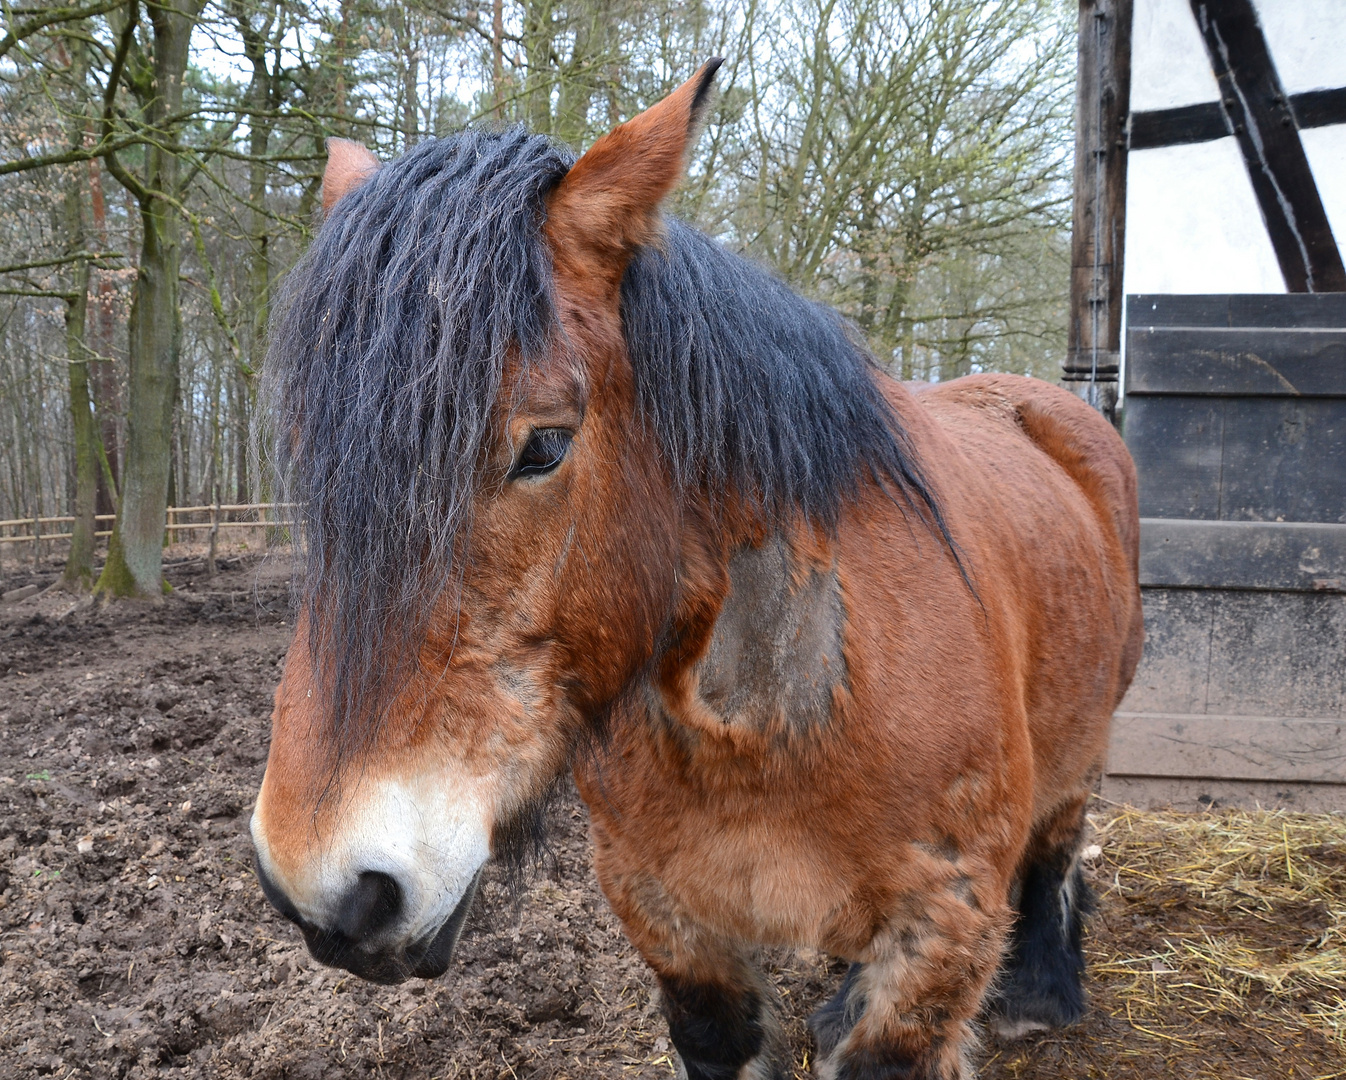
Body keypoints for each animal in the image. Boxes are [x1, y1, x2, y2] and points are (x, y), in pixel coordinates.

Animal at [247, 65, 1141, 1077]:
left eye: (543, 446)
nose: (324, 889)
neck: (775, 724)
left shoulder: (938, 941)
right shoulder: (670, 922)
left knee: (1061, 838)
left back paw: (1041, 993)